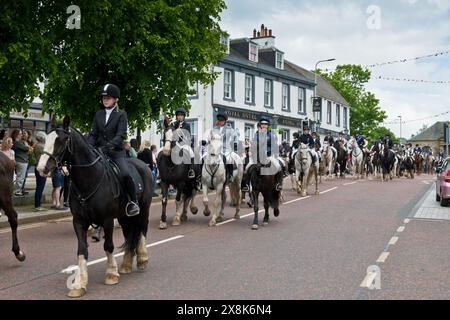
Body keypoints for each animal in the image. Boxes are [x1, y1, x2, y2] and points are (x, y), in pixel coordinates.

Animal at [36, 117, 152, 298]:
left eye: (62, 140)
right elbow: (82, 250)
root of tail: (142, 164)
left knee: (142, 231)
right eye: (45, 139)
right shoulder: (79, 221)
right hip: (123, 216)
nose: (41, 168)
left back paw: (142, 259)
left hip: (143, 209)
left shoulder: (107, 220)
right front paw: (79, 284)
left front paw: (111, 274)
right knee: (129, 234)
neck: (89, 179)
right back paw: (126, 264)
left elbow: (108, 246)